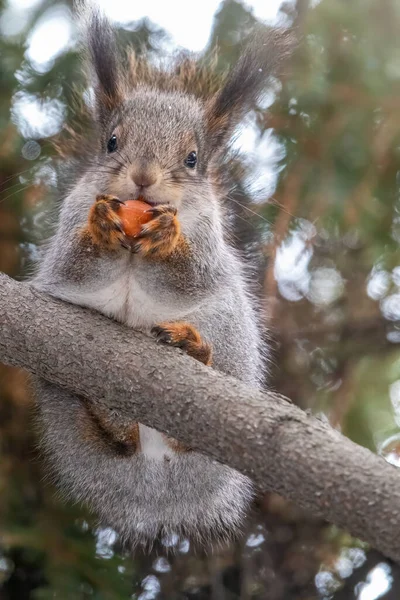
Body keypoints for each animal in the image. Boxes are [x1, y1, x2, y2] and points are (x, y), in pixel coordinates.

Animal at [31, 7, 292, 548]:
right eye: (112, 141)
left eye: (192, 159)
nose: (144, 176)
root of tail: (156, 481)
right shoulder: (65, 235)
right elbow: (74, 264)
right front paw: (101, 229)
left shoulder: (210, 246)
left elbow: (187, 274)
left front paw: (168, 239)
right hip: (59, 382)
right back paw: (114, 420)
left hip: (228, 333)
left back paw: (193, 350)